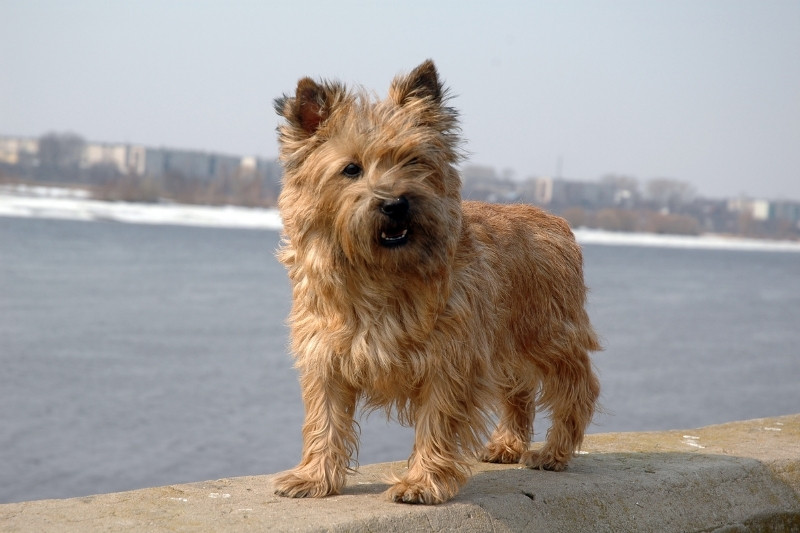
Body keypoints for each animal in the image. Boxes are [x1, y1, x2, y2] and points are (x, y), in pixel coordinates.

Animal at [272, 59, 596, 502]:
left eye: (413, 161)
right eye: (351, 169)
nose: (395, 203)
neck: (380, 273)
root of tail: (556, 220)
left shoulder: (451, 359)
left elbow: (437, 422)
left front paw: (421, 482)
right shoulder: (326, 357)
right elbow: (325, 419)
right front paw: (313, 477)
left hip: (549, 335)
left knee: (576, 389)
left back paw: (554, 452)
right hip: (506, 344)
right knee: (520, 392)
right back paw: (507, 445)